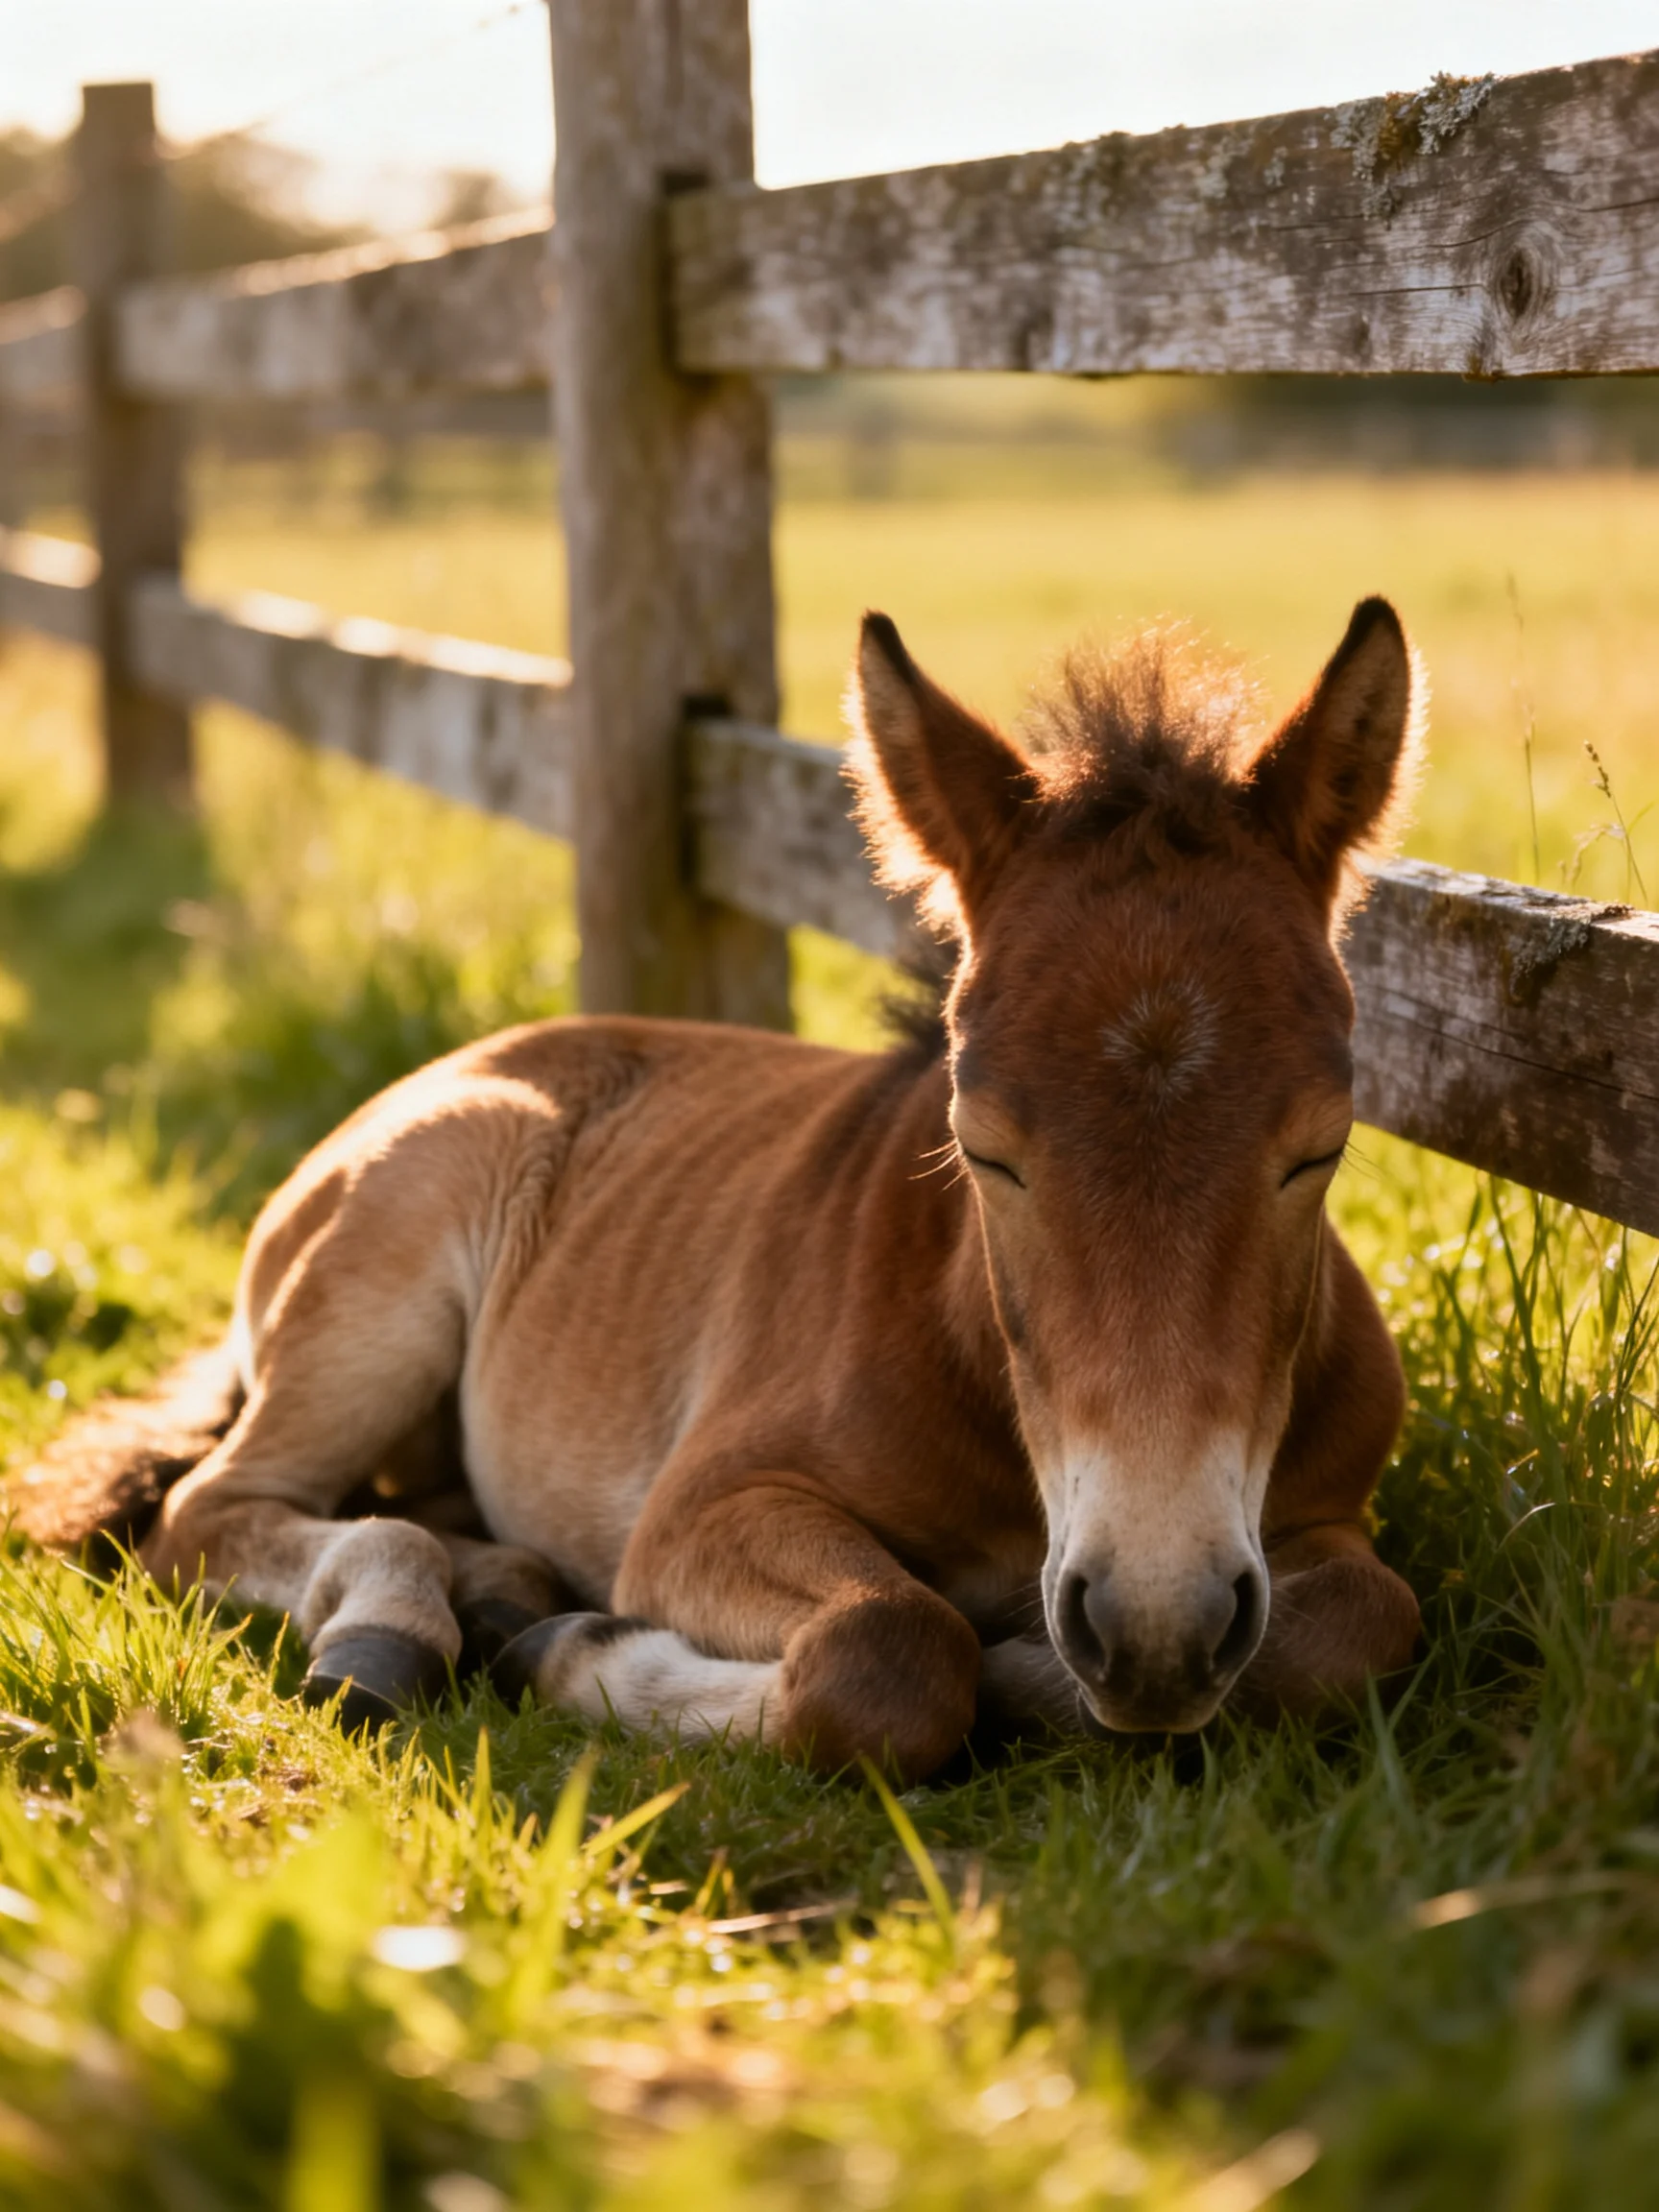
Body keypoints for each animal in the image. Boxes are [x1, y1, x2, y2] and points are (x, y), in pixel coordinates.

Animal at [15, 599, 1424, 1783]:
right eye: (984, 1149)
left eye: (1318, 1149)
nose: (1152, 1628)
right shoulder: (708, 1505)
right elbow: (892, 1652)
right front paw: (587, 1659)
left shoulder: (1308, 1525)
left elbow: (1363, 1623)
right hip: (384, 1284)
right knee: (215, 1512)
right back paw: (408, 1631)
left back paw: (503, 1590)